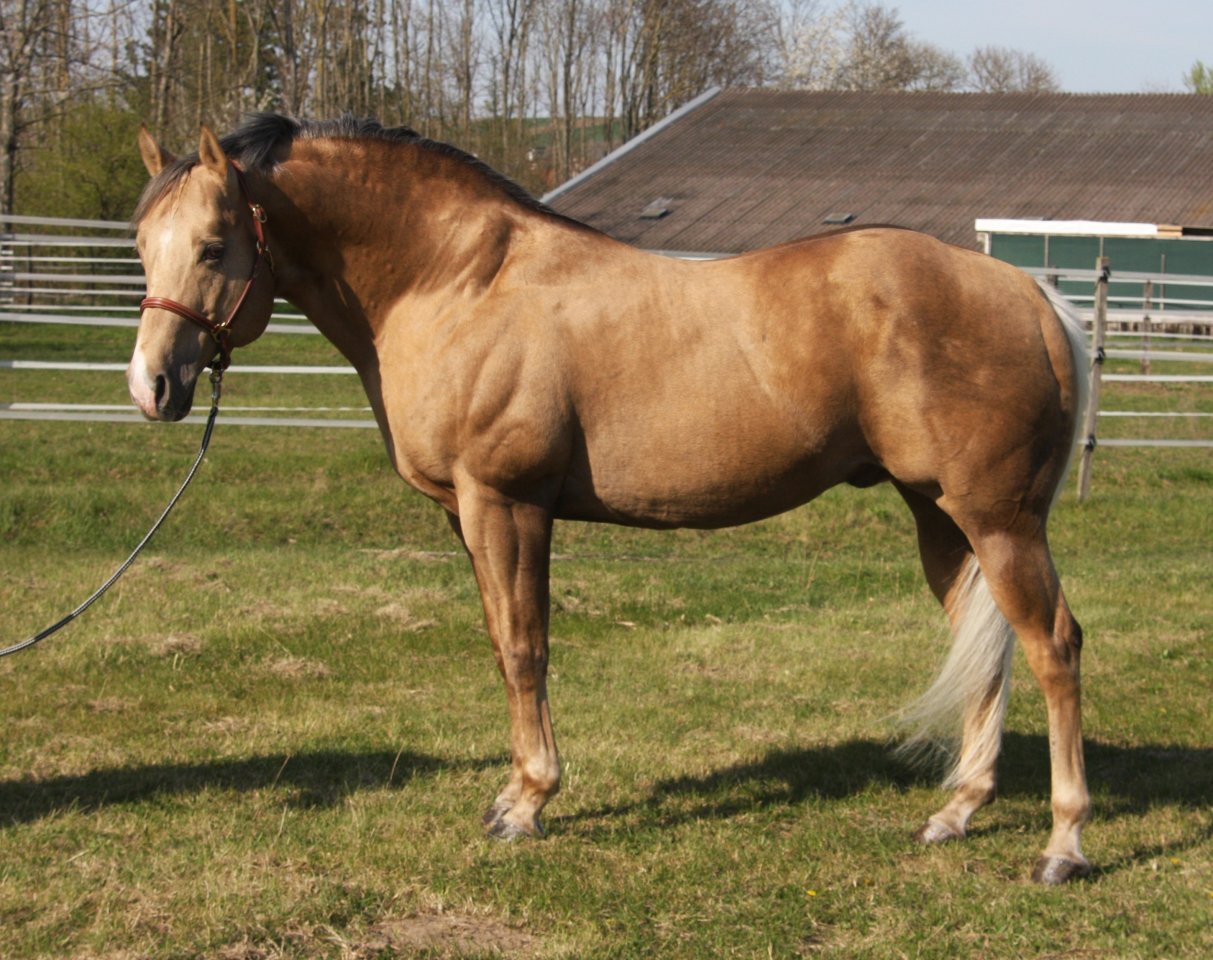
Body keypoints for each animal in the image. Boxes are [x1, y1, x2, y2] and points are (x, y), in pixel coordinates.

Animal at [129, 115, 1092, 884]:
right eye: (141, 246)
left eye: (212, 246)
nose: (152, 387)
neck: (456, 282)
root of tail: (1028, 292)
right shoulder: (467, 516)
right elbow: (502, 644)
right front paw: (515, 793)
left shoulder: (506, 504)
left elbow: (525, 650)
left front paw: (526, 804)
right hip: (942, 518)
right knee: (985, 649)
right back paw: (955, 811)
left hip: (1000, 521)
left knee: (1051, 646)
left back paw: (1061, 845)